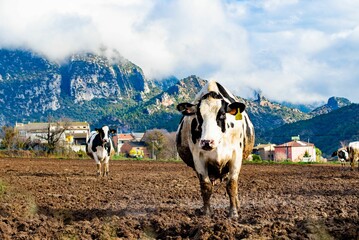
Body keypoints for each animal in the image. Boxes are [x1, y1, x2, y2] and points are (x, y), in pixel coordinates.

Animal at [176, 80, 256, 218]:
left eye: (222, 115)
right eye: (198, 116)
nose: (207, 142)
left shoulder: (236, 156)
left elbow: (232, 185)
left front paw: (233, 213)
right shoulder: (198, 158)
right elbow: (206, 186)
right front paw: (207, 212)